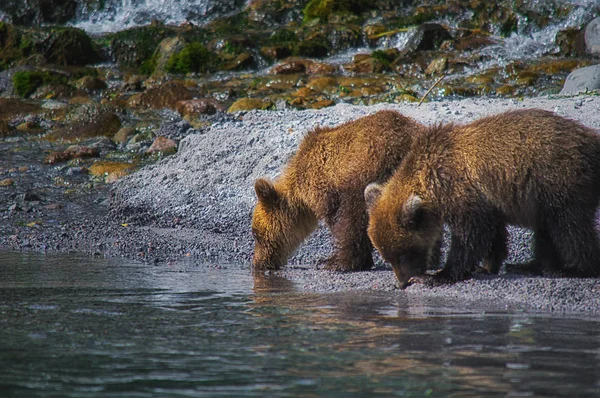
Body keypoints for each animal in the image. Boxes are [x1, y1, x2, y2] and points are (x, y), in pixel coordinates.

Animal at [251, 109, 438, 270]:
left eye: (256, 235)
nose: (257, 263)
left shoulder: (327, 186)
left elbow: (342, 221)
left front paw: (332, 260)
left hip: (372, 168)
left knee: (356, 215)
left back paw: (339, 263)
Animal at [364, 110, 600, 288]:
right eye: (387, 256)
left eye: (404, 253)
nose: (402, 283)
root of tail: (592, 139)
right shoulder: (488, 201)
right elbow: (493, 232)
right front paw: (487, 265)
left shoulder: (459, 189)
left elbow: (470, 234)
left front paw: (436, 276)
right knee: (547, 230)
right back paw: (531, 265)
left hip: (558, 180)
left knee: (568, 227)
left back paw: (572, 268)